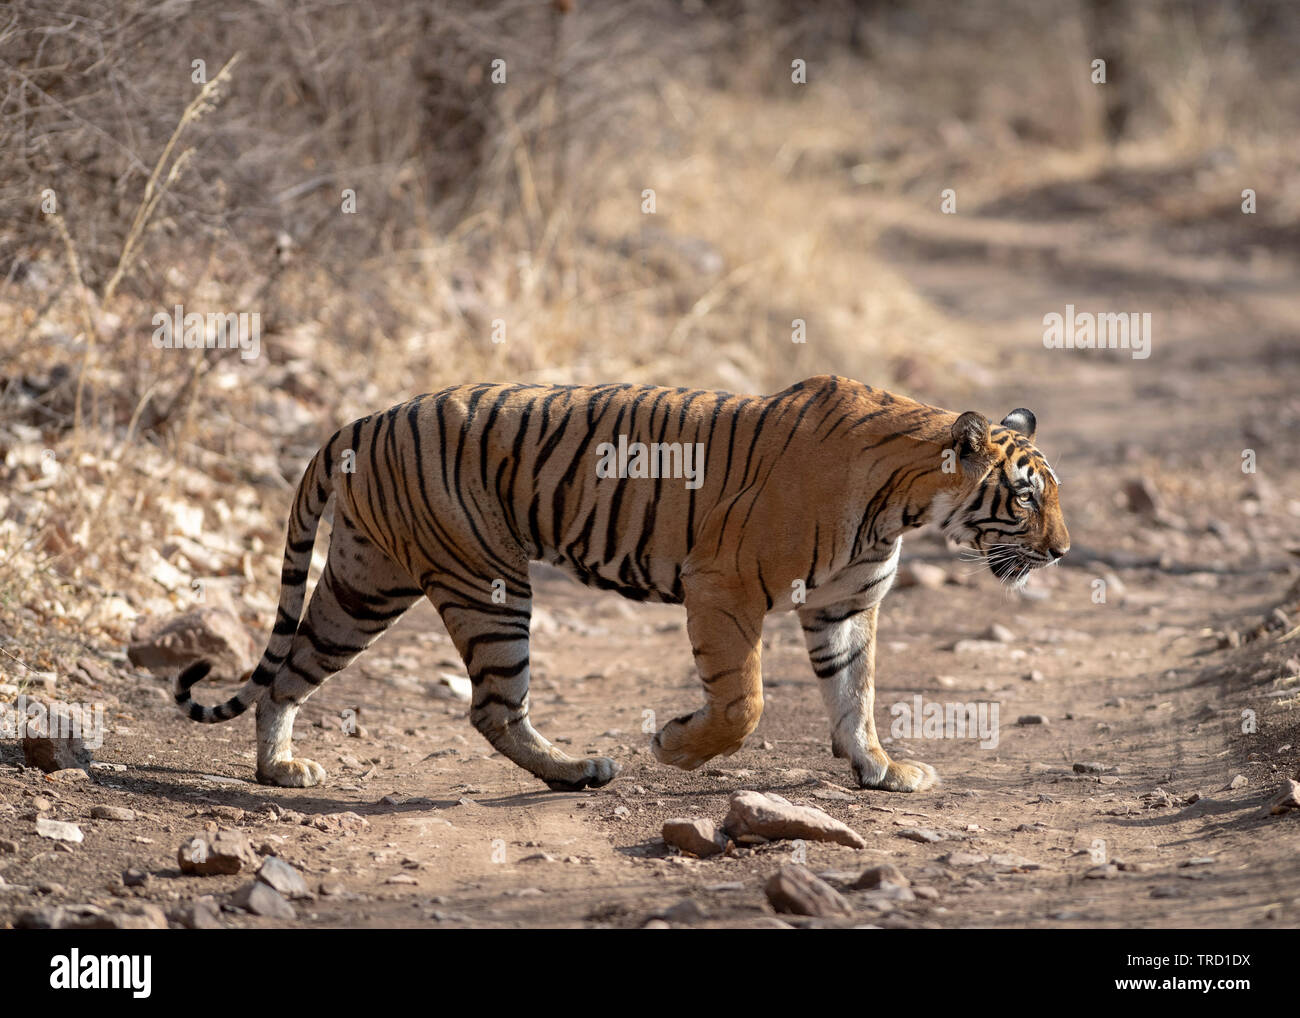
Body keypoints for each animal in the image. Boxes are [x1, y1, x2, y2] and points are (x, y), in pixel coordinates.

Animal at [172, 377, 1066, 795]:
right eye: (1025, 497)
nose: (1061, 552)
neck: (906, 501)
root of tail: (365, 418)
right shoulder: (723, 587)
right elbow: (744, 703)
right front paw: (674, 746)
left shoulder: (844, 605)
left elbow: (857, 697)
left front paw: (880, 770)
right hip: (483, 581)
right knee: (492, 705)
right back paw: (579, 771)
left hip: (366, 580)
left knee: (290, 670)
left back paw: (280, 770)